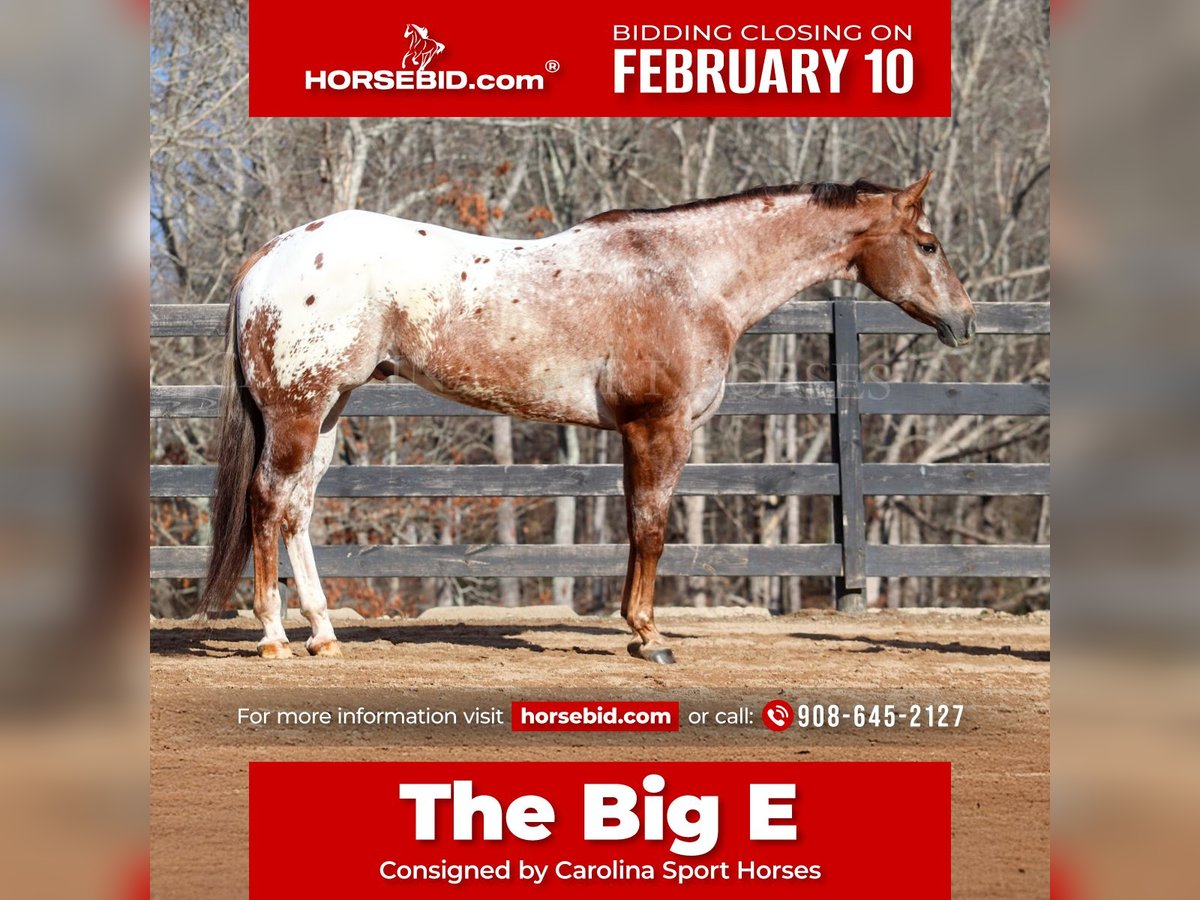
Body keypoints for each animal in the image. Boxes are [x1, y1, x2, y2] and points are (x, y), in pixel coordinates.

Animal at [201, 172, 974, 662]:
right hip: (298, 412)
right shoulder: (658, 429)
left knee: (297, 510)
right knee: (268, 502)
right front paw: (648, 637)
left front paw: (637, 628)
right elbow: (651, 528)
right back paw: (273, 637)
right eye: (928, 245)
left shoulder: (641, 434)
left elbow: (638, 528)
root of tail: (273, 254)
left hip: (328, 412)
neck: (688, 275)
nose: (965, 322)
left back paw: (323, 635)